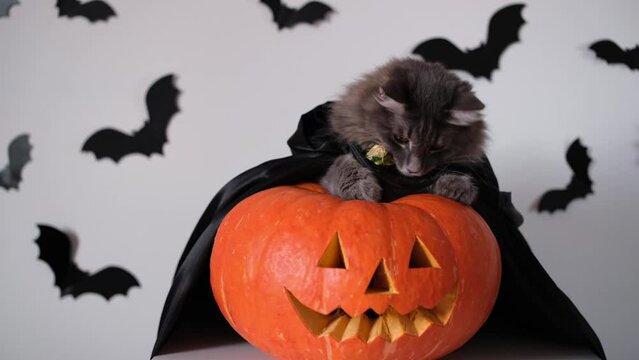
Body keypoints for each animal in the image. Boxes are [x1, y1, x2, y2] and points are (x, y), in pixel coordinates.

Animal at [322, 59, 488, 205]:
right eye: (401, 139)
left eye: (436, 147)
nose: (413, 170)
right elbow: (342, 163)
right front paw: (362, 188)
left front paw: (458, 186)